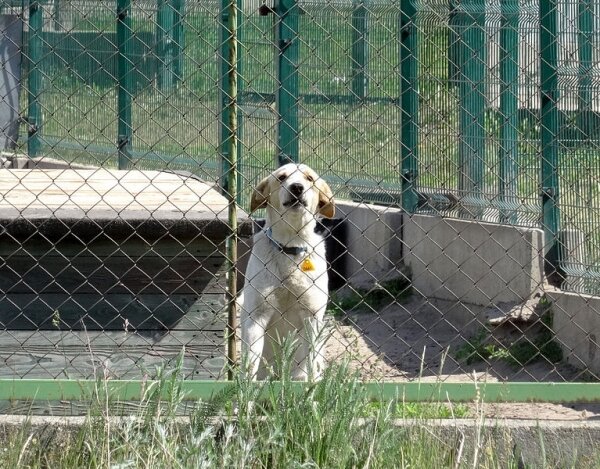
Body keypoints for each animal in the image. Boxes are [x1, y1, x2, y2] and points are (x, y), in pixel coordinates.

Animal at [239, 163, 336, 378]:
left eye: (309, 178)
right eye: (282, 177)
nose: (297, 187)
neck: (291, 247)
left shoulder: (312, 317)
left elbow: (310, 367)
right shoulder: (256, 317)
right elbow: (249, 369)